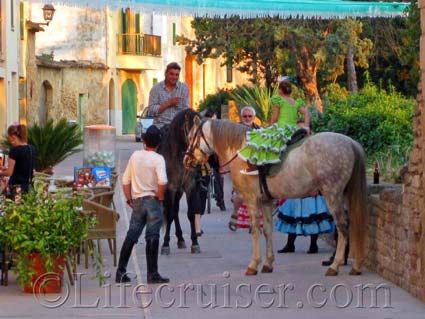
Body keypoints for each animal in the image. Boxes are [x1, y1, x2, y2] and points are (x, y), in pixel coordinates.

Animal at [157, 109, 200, 256]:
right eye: (191, 131)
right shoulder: (170, 188)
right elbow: (169, 215)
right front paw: (165, 245)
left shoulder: (189, 187)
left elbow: (191, 214)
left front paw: (195, 243)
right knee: (170, 211)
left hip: (179, 191)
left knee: (175, 210)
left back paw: (181, 239)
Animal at [184, 117, 366, 278]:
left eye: (190, 137)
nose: (186, 160)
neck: (240, 150)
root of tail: (350, 143)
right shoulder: (266, 201)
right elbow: (267, 230)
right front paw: (268, 263)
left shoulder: (251, 200)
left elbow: (255, 230)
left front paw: (253, 264)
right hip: (343, 194)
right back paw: (355, 265)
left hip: (332, 194)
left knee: (342, 226)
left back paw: (335, 265)